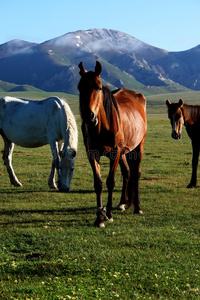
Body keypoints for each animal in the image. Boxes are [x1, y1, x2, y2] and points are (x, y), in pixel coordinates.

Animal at [78, 61, 147, 227]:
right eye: (80, 87)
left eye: (98, 87)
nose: (89, 117)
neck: (103, 126)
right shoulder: (92, 154)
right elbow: (98, 184)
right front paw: (99, 218)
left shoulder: (114, 153)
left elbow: (110, 182)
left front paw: (108, 214)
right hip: (123, 152)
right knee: (127, 171)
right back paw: (122, 203)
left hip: (138, 147)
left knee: (136, 173)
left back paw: (137, 207)